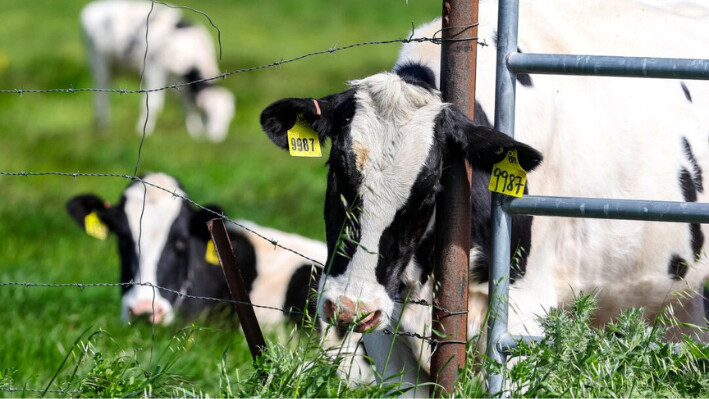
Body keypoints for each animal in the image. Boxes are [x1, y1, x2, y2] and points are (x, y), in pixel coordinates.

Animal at [79, 0, 235, 142]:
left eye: (228, 117)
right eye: (207, 115)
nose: (216, 139)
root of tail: (94, 7)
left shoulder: (181, 85)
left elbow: (188, 107)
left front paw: (195, 133)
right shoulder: (154, 70)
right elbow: (153, 105)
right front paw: (143, 132)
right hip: (99, 63)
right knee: (101, 96)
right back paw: (103, 127)